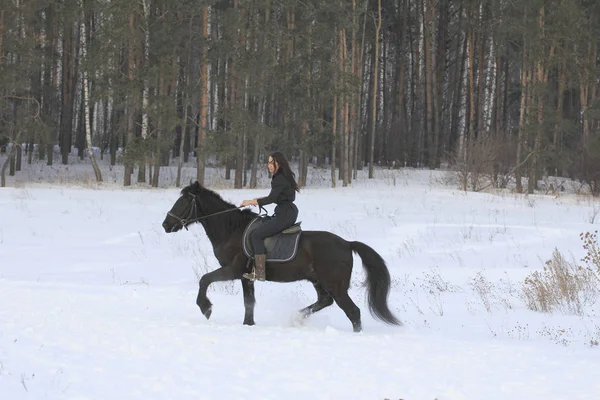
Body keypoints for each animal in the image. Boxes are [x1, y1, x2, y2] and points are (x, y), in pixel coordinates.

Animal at [162, 181, 400, 332]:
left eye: (184, 201)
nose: (166, 224)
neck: (231, 230)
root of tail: (347, 244)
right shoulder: (246, 276)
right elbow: (249, 302)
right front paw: (248, 325)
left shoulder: (233, 270)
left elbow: (204, 279)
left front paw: (206, 308)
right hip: (318, 281)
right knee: (325, 301)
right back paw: (296, 317)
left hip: (335, 285)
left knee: (353, 312)